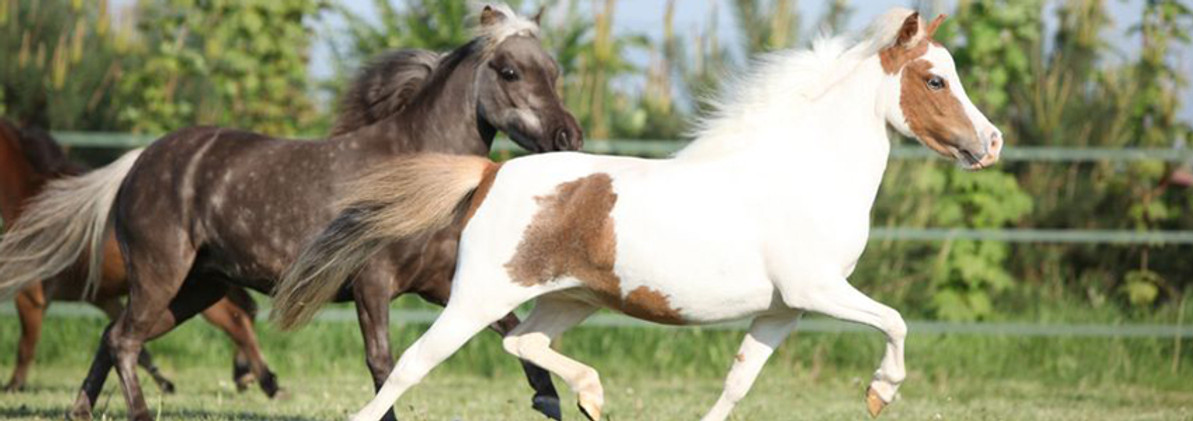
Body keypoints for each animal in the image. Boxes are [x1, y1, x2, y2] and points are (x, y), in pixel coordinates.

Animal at [0, 118, 280, 393]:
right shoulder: (102, 298)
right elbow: (132, 343)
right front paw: (164, 383)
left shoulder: (31, 298)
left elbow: (25, 347)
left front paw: (14, 386)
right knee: (245, 313)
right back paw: (247, 376)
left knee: (237, 322)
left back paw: (265, 381)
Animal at [276, 9, 1006, 419]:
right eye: (935, 79)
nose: (991, 142)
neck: (802, 175)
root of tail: (490, 173)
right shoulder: (819, 290)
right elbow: (896, 322)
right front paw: (881, 392)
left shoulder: (782, 311)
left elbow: (738, 382)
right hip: (477, 297)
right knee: (409, 366)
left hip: (567, 299)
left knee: (523, 343)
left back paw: (592, 395)